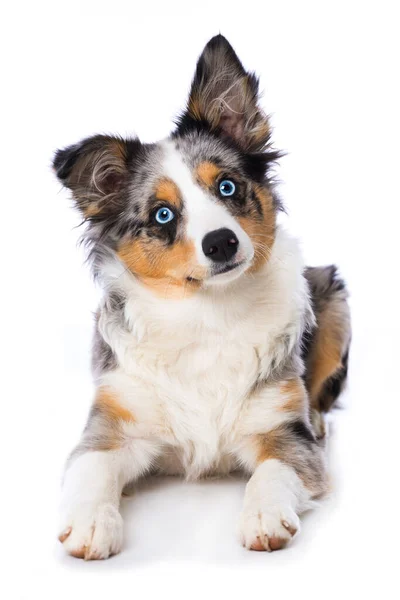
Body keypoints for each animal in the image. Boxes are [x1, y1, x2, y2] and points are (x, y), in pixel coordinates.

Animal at [52, 34, 350, 556]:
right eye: (163, 215)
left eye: (227, 186)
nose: (221, 243)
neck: (209, 314)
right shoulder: (112, 422)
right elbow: (91, 467)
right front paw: (90, 522)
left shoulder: (285, 432)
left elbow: (274, 471)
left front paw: (264, 514)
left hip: (333, 299)